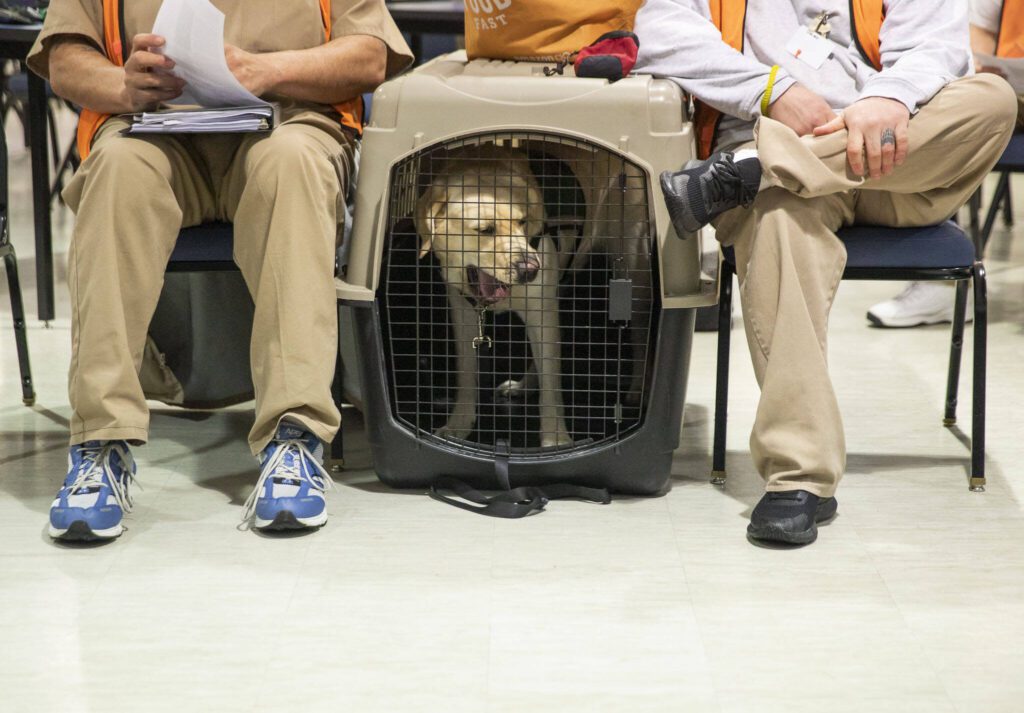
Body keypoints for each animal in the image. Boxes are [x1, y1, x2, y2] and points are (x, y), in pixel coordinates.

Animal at [380, 133, 659, 454]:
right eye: (484, 230)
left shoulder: (541, 311)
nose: (530, 269)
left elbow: (552, 387)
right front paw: (459, 425)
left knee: (640, 338)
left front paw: (556, 439)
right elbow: (467, 374)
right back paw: (523, 386)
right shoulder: (463, 315)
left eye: (523, 222)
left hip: (634, 282)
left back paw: (637, 390)